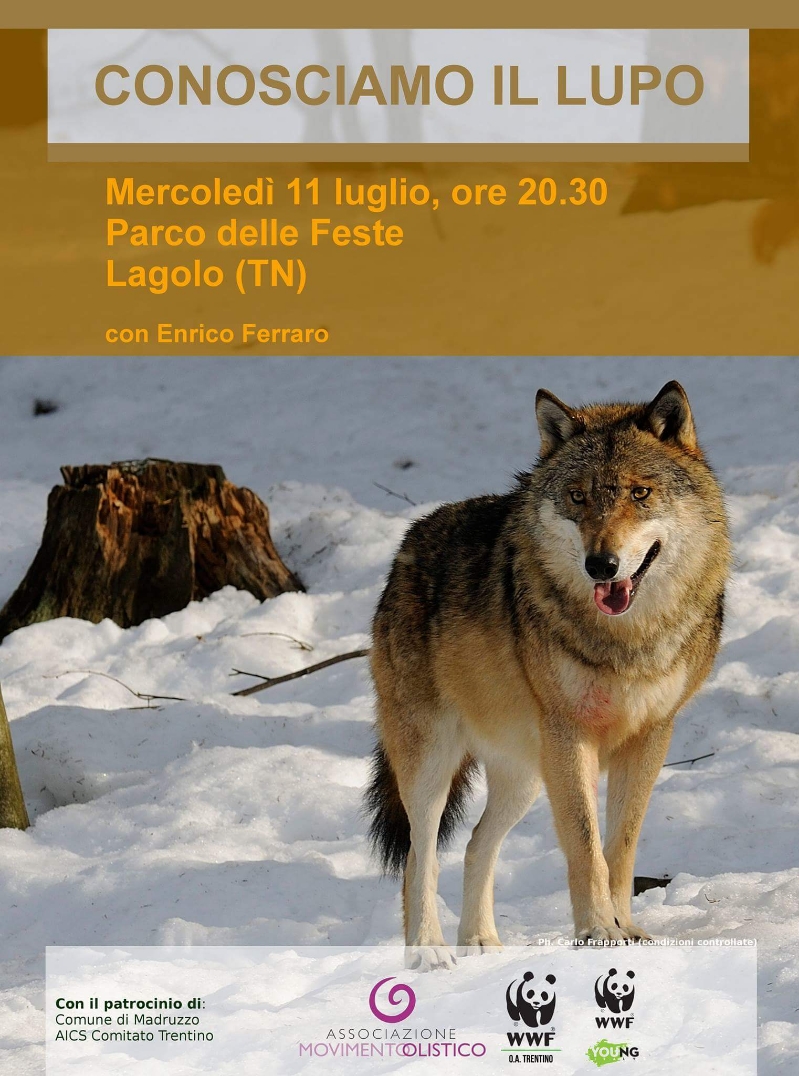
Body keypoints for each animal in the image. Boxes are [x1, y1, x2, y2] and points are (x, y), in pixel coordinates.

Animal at [365, 381, 731, 968]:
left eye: (640, 493)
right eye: (578, 496)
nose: (601, 565)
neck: (626, 641)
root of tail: (405, 547)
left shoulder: (652, 736)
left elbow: (620, 847)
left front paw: (625, 929)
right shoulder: (570, 735)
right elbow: (585, 847)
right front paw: (597, 932)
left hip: (526, 777)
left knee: (476, 845)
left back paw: (481, 943)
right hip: (433, 765)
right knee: (420, 859)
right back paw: (429, 951)